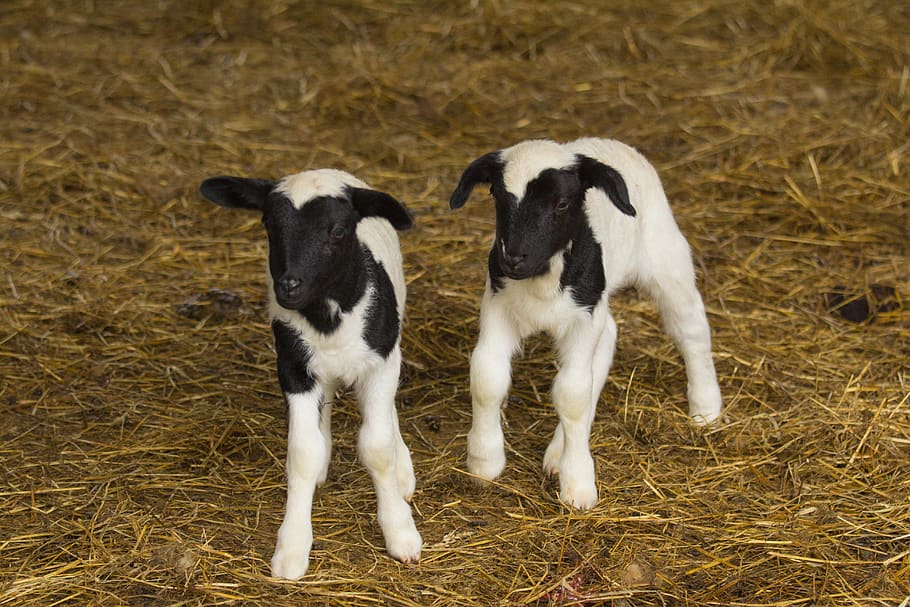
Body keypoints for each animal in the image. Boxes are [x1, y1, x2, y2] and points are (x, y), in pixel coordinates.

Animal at [199, 169, 421, 580]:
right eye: (269, 224)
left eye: (338, 230)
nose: (289, 286)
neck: (327, 318)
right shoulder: (293, 367)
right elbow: (303, 452)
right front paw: (292, 547)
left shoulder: (381, 362)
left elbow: (377, 447)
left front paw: (399, 530)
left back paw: (402, 470)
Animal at [449, 137, 723, 510]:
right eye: (498, 198)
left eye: (562, 203)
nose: (513, 258)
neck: (542, 280)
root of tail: (611, 143)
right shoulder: (498, 305)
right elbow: (487, 377)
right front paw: (484, 461)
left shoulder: (583, 318)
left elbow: (572, 393)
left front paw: (578, 484)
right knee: (608, 337)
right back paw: (557, 451)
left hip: (666, 258)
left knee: (691, 328)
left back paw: (706, 407)